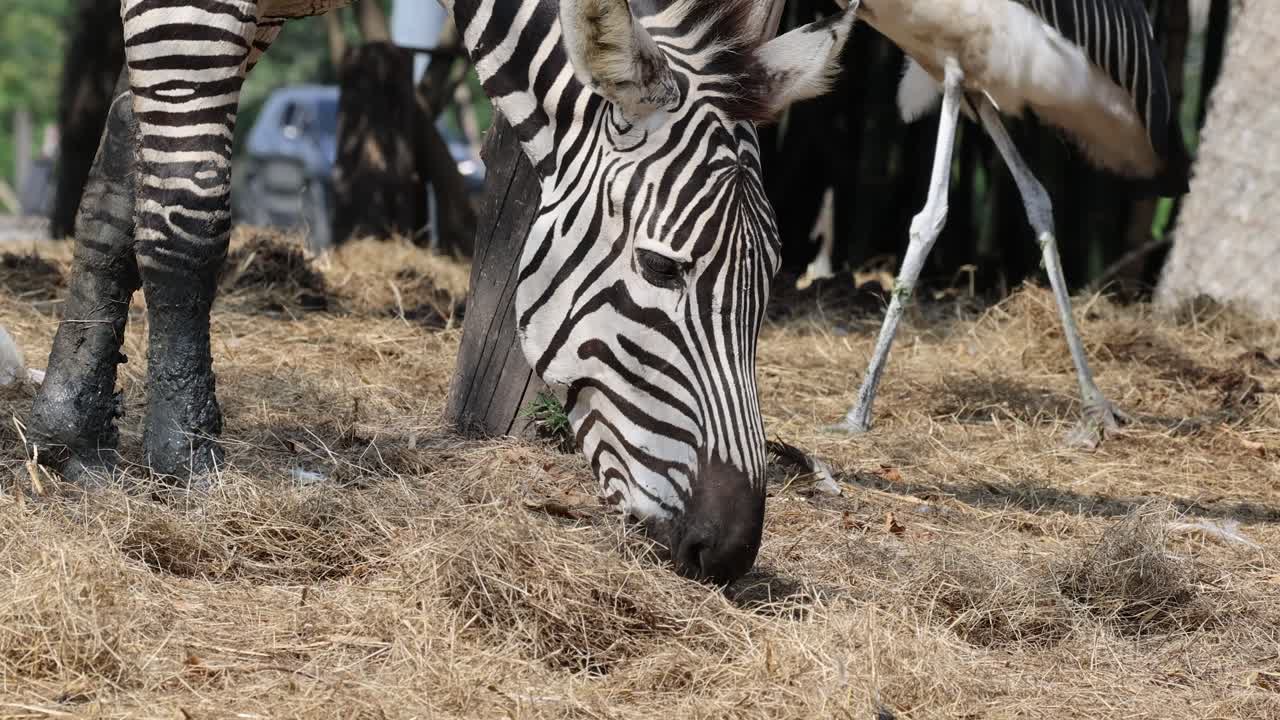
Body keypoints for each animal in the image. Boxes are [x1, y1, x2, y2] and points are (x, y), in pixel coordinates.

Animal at [26, 0, 857, 584]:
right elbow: (183, 214)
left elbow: (114, 195)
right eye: (662, 269)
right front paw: (188, 463)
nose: (731, 552)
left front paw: (69, 435)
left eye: (768, 285)